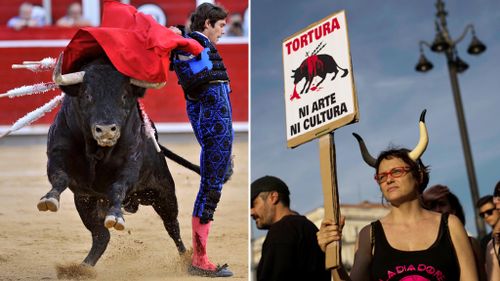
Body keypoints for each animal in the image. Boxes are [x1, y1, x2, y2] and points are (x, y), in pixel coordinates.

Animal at [41, 58, 201, 264]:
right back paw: (83, 267)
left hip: (164, 192)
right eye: (87, 95)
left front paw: (115, 217)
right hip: (85, 201)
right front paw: (49, 199)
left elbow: (118, 187)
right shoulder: (57, 154)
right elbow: (59, 177)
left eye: (124, 96)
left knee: (172, 226)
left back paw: (187, 260)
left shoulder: (130, 166)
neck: (97, 150)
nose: (106, 130)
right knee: (101, 236)